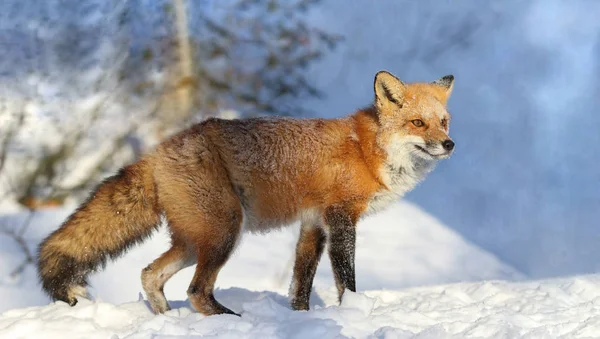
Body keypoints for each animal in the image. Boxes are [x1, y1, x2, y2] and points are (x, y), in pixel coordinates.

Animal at [37, 70, 454, 318]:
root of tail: (157, 152)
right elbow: (345, 278)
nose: (449, 144)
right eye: (418, 123)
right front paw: (352, 310)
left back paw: (168, 318)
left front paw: (299, 317)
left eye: (444, 122)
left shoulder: (313, 224)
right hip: (224, 232)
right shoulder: (340, 218)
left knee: (150, 275)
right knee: (196, 291)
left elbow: (301, 280)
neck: (368, 152)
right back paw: (227, 320)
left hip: (195, 240)